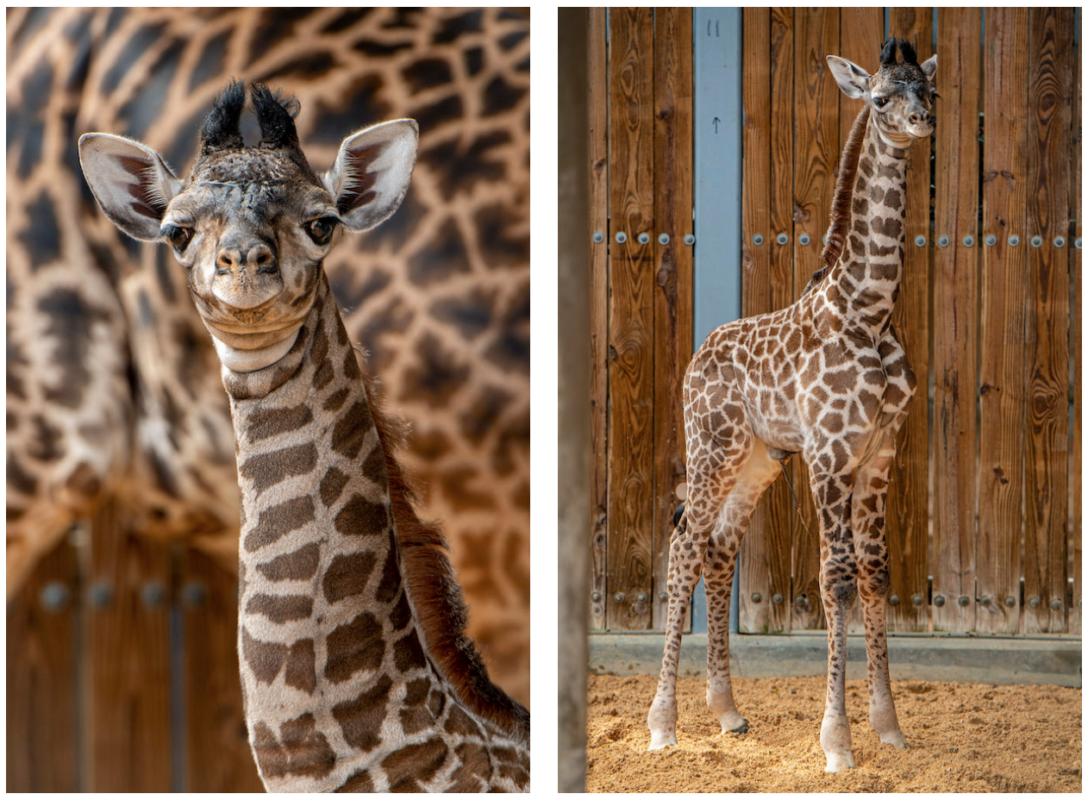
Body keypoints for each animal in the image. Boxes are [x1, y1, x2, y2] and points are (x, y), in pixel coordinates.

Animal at [646, 39, 937, 773]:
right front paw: (837, 742)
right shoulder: (830, 454)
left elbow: (876, 572)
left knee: (720, 546)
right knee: (685, 544)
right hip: (713, 444)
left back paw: (727, 712)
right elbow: (835, 577)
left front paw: (889, 728)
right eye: (881, 97)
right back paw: (662, 725)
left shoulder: (881, 451)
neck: (869, 311)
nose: (921, 123)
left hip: (761, 457)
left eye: (930, 91)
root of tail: (696, 354)